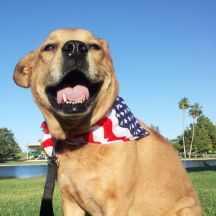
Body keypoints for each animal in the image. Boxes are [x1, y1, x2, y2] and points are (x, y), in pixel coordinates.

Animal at [14, 29, 202, 216]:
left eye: (94, 46)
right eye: (49, 47)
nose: (75, 48)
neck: (78, 136)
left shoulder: (116, 204)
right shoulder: (70, 202)